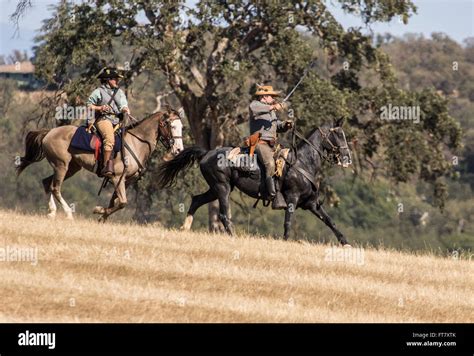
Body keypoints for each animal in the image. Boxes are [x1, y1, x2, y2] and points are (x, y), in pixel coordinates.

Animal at [16, 107, 183, 221]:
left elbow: (114, 201)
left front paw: (102, 217)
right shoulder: (117, 178)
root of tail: (49, 133)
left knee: (47, 183)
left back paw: (52, 212)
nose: (178, 149)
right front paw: (98, 210)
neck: (136, 143)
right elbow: (122, 202)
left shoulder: (127, 180)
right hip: (61, 165)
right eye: (172, 126)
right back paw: (68, 214)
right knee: (55, 187)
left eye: (181, 127)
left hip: (72, 168)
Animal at [157, 118, 354, 246]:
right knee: (223, 214)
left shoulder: (311, 203)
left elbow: (329, 221)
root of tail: (206, 153)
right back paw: (233, 236)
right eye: (339, 134)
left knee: (197, 200)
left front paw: (345, 242)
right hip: (222, 188)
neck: (303, 162)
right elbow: (288, 221)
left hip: (215, 189)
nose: (347, 158)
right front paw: (286, 241)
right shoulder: (292, 198)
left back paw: (185, 227)